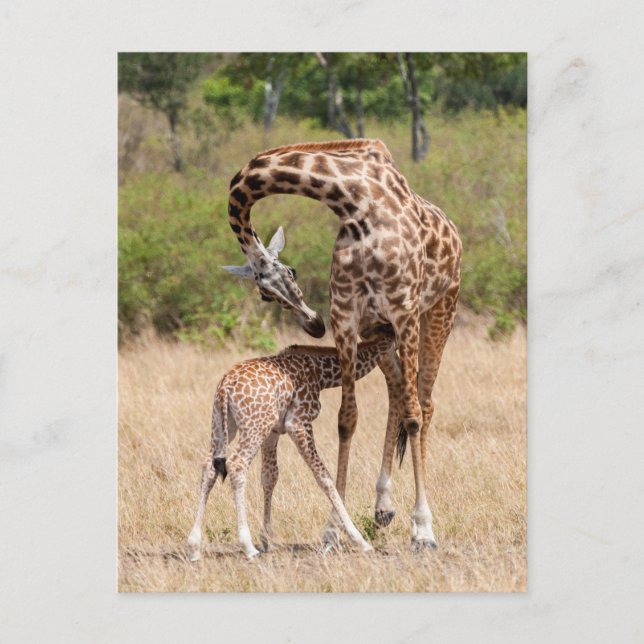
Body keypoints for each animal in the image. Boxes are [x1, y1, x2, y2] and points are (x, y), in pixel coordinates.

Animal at [187, 329, 395, 560]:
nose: (394, 373)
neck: (320, 374)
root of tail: (226, 388)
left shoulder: (273, 432)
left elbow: (269, 477)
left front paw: (267, 540)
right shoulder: (298, 423)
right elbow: (324, 477)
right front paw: (360, 540)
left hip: (223, 424)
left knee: (209, 466)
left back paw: (194, 547)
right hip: (253, 426)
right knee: (237, 464)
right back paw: (247, 546)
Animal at [224, 138, 461, 549]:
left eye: (291, 272)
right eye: (266, 295)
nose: (314, 324)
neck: (354, 202)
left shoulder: (404, 310)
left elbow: (414, 415)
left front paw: (424, 529)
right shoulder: (348, 318)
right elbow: (346, 420)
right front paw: (333, 530)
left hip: (439, 310)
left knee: (424, 404)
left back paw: (416, 523)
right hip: (379, 330)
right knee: (397, 393)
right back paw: (382, 507)